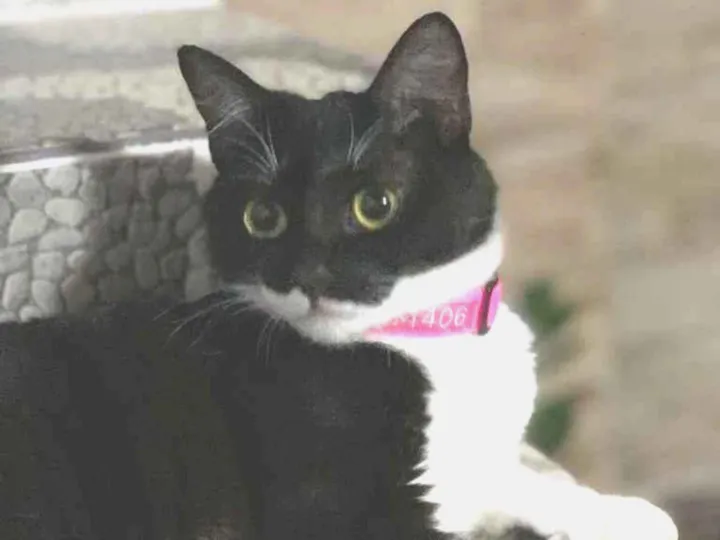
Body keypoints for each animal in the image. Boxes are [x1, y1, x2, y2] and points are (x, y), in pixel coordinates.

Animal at [0, 11, 676, 540]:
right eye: (263, 216)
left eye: (375, 205)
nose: (308, 274)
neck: (431, 343)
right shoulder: (330, 503)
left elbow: (512, 476)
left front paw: (619, 511)